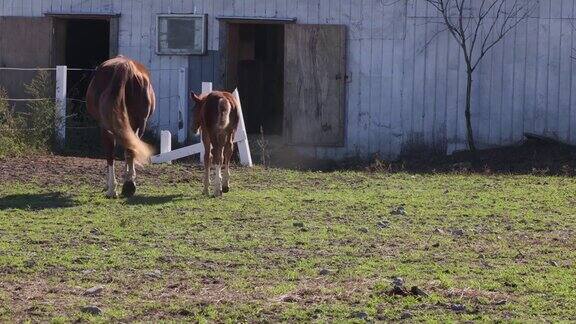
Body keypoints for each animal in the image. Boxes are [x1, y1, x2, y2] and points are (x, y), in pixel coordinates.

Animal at [86, 56, 155, 197]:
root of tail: (125, 68)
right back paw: (129, 185)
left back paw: (112, 189)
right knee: (130, 149)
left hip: (107, 127)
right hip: (138, 124)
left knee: (110, 154)